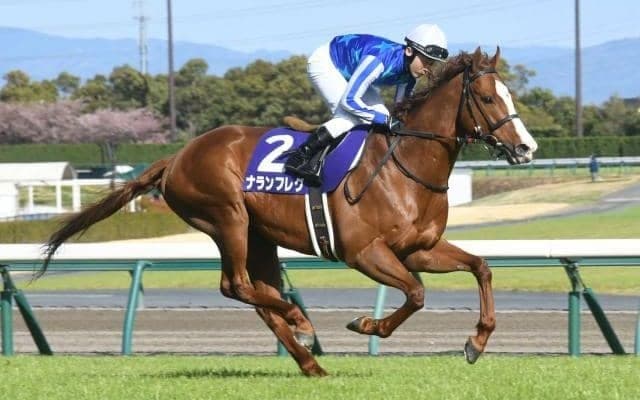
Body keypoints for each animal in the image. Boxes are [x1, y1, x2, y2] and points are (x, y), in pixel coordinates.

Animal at [40, 47, 537, 377]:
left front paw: (476, 342)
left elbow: (480, 267)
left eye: (509, 96)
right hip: (228, 218)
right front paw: (366, 324)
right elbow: (415, 293)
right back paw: (301, 323)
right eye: (489, 99)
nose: (526, 148)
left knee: (258, 295)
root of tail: (176, 156)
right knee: (237, 286)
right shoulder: (364, 252)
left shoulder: (419, 248)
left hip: (259, 236)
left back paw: (308, 359)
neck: (404, 166)